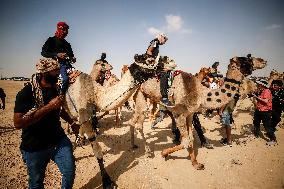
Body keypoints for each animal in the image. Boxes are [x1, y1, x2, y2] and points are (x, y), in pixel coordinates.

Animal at [63, 55, 176, 188]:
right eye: (149, 60)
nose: (171, 62)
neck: (96, 94)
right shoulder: (84, 114)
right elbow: (97, 151)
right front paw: (107, 181)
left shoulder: (88, 114)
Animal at [130, 54, 268, 170]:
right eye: (245, 59)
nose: (263, 61)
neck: (200, 93)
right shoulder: (178, 114)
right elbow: (185, 141)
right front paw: (164, 153)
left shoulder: (189, 114)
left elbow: (190, 139)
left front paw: (196, 163)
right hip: (141, 97)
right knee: (139, 124)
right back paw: (148, 151)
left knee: (133, 122)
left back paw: (134, 145)